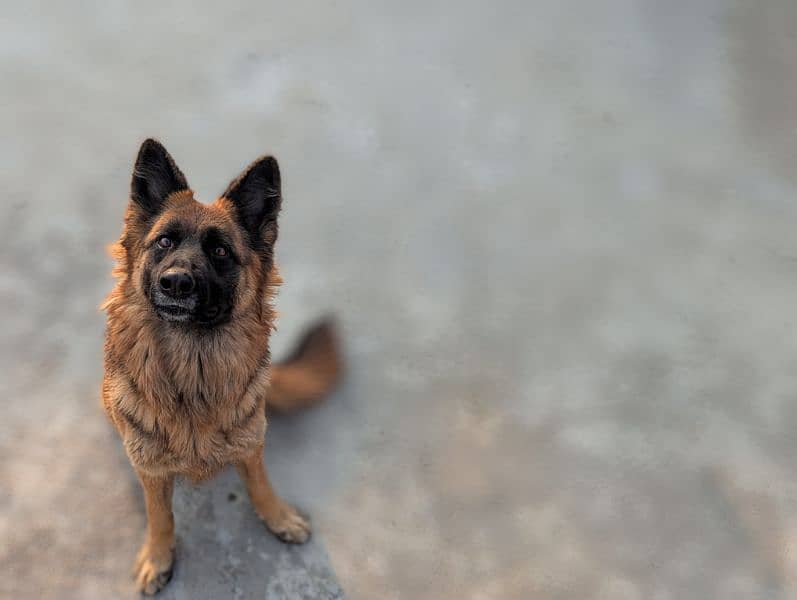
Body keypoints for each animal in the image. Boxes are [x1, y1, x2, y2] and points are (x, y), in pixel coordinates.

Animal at [101, 141, 340, 596]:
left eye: (220, 251)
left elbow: (261, 484)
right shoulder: (151, 469)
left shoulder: (250, 442)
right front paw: (158, 558)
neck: (193, 370)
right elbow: (161, 516)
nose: (176, 283)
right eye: (164, 242)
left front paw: (279, 517)